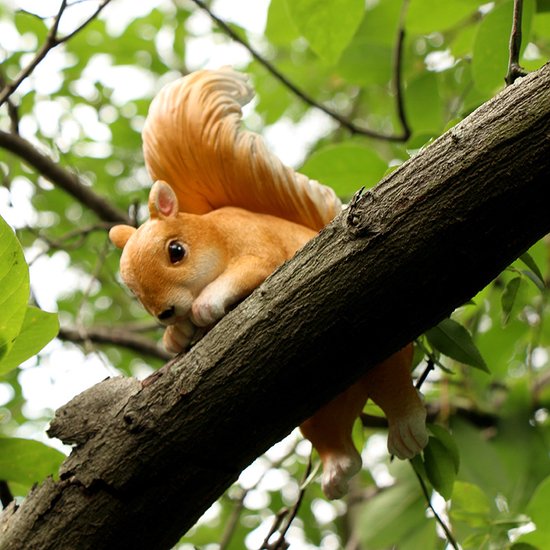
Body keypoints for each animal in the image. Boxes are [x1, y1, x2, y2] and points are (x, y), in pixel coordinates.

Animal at [110, 67, 432, 502]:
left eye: (176, 251)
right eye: (134, 291)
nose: (166, 312)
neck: (213, 232)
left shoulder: (257, 247)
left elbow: (247, 273)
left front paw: (205, 306)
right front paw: (175, 337)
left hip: (384, 349)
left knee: (395, 383)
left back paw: (408, 428)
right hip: (315, 408)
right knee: (332, 437)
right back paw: (338, 470)